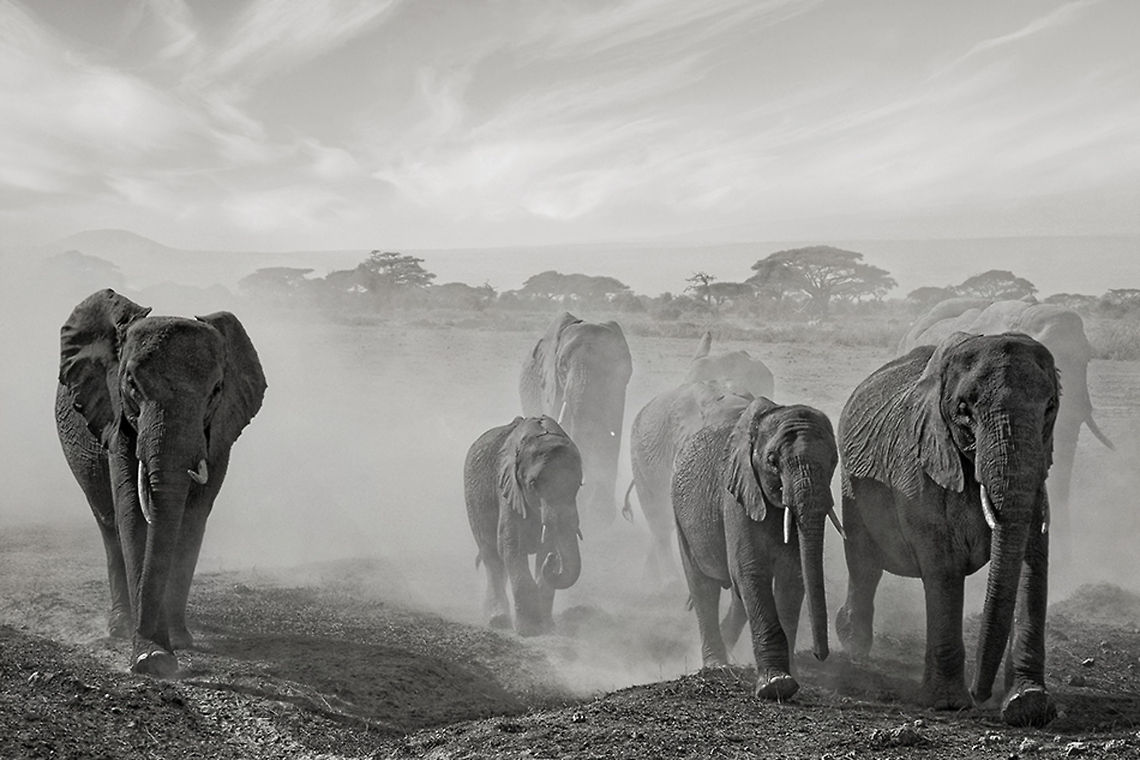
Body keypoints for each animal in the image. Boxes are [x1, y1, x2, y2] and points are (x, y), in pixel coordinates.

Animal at [55, 289, 266, 676]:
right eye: (131, 384)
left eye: (217, 390)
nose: (153, 658)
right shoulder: (116, 417)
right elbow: (131, 515)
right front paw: (151, 655)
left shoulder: (219, 432)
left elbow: (192, 519)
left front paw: (174, 644)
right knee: (108, 524)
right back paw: (121, 628)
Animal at [465, 415, 583, 636]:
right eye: (533, 484)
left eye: (579, 484)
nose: (554, 560)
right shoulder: (508, 487)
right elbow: (511, 545)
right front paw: (530, 631)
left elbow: (548, 545)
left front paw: (547, 628)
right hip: (473, 502)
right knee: (492, 558)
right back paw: (497, 620)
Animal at [519, 312, 632, 525]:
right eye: (562, 366)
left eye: (616, 367)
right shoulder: (551, 387)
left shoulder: (618, 391)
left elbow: (612, 437)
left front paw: (600, 517)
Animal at [672, 396, 840, 700]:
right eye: (772, 461)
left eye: (834, 460)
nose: (821, 655)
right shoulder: (737, 495)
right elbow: (751, 570)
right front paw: (777, 685)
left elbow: (792, 576)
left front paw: (790, 677)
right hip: (680, 517)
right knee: (703, 587)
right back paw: (717, 665)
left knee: (737, 597)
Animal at [837, 332, 1057, 726]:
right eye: (964, 411)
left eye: (1050, 407)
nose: (980, 693)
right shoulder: (919, 469)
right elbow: (942, 569)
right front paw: (948, 704)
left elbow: (1032, 563)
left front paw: (1028, 705)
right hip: (851, 484)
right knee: (864, 563)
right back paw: (854, 647)